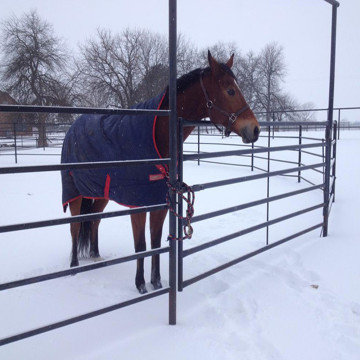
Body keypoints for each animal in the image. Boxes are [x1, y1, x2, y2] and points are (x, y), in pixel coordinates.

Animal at [61, 50, 258, 294]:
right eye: (230, 90)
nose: (255, 129)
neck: (157, 135)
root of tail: (72, 128)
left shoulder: (160, 201)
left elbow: (155, 241)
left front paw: (156, 282)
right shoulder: (137, 204)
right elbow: (141, 245)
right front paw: (140, 285)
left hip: (100, 193)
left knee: (94, 220)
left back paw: (96, 256)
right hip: (74, 193)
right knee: (75, 225)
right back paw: (74, 266)